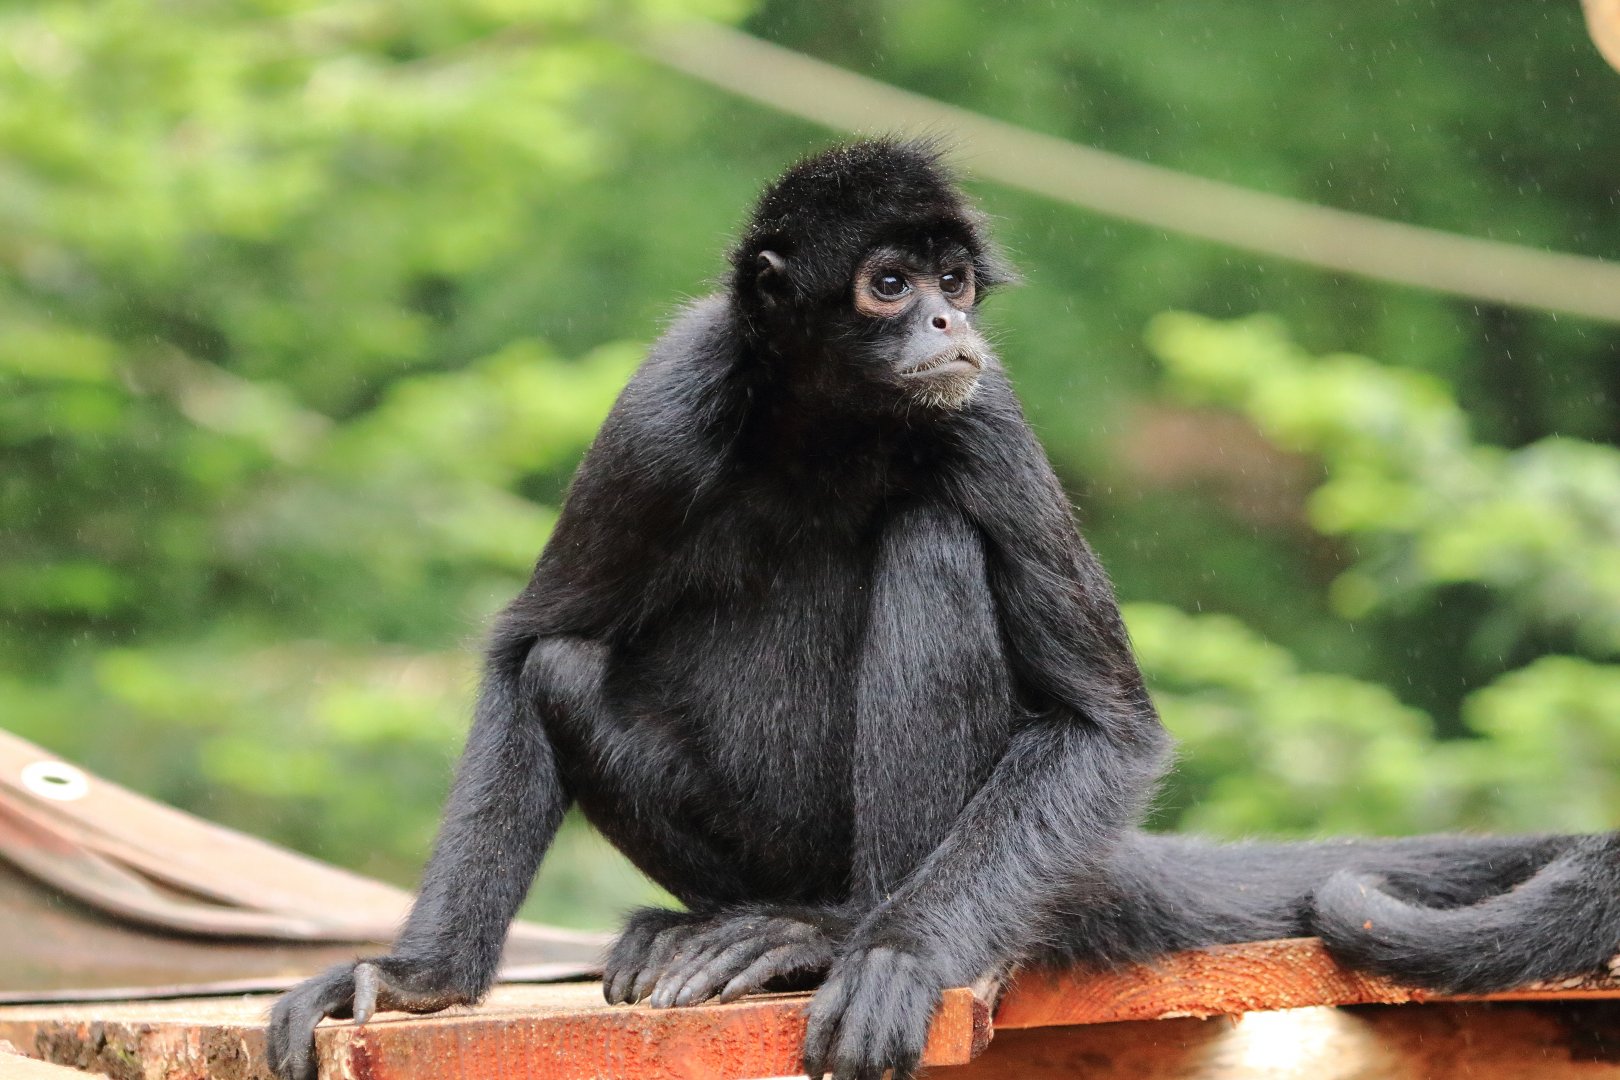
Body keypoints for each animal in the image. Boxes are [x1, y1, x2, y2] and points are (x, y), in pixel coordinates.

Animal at [268, 139, 1620, 1080]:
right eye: (887, 282)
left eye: (955, 282)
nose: (943, 320)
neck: (826, 431)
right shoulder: (664, 407)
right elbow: (523, 648)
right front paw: (418, 980)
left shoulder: (988, 406)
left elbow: (1106, 727)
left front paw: (902, 959)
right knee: (564, 662)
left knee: (932, 542)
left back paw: (828, 934)